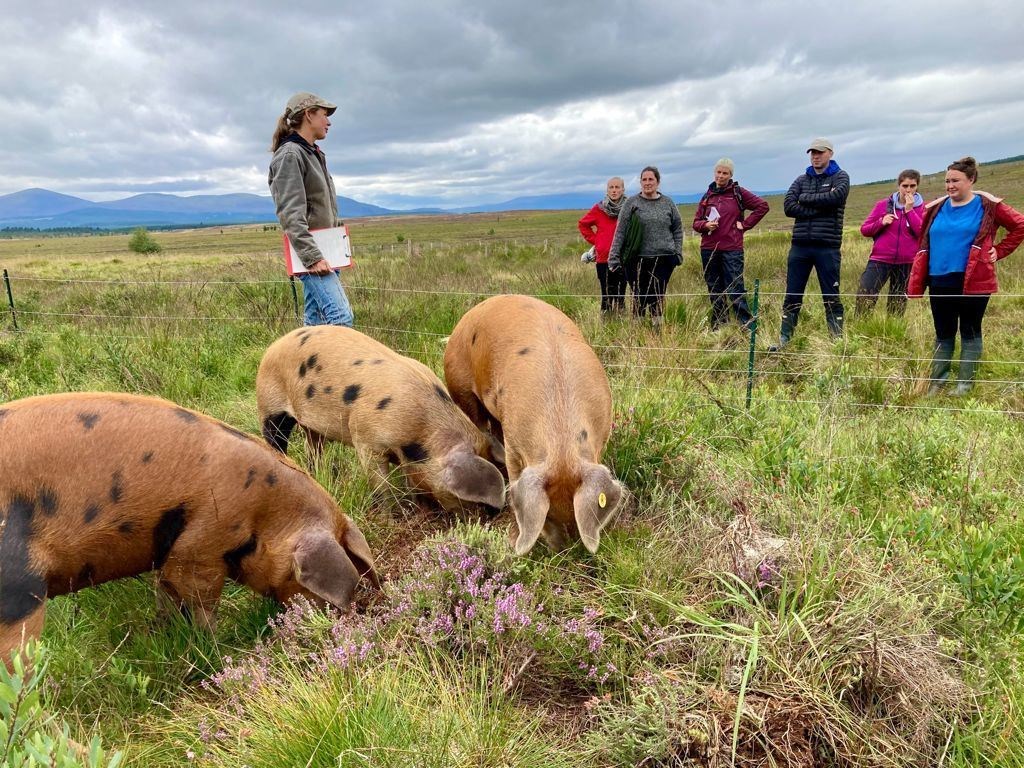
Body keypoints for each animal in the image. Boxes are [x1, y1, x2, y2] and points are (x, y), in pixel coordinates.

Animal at [0, 393, 378, 663]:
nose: (344, 622)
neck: (264, 513)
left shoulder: (168, 554)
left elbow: (165, 594)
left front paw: (161, 634)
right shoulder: (200, 545)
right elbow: (200, 600)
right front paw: (218, 650)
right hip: (18, 595)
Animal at [253, 325, 501, 512]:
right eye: (465, 498)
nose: (485, 515)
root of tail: (273, 346)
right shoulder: (364, 439)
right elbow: (380, 484)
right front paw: (392, 513)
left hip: (311, 427)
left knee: (312, 448)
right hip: (269, 405)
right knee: (274, 440)